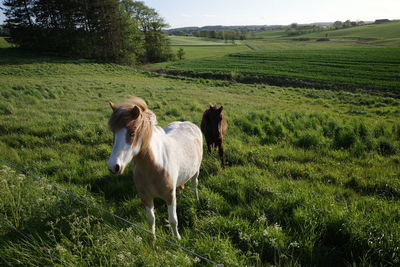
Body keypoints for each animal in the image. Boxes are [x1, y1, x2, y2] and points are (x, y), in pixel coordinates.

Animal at [107, 97, 203, 241]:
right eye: (114, 132)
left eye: (132, 133)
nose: (113, 167)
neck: (154, 167)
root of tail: (188, 123)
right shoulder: (146, 197)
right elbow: (151, 220)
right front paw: (152, 241)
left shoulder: (169, 196)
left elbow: (173, 220)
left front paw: (177, 239)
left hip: (196, 171)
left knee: (194, 184)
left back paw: (196, 199)